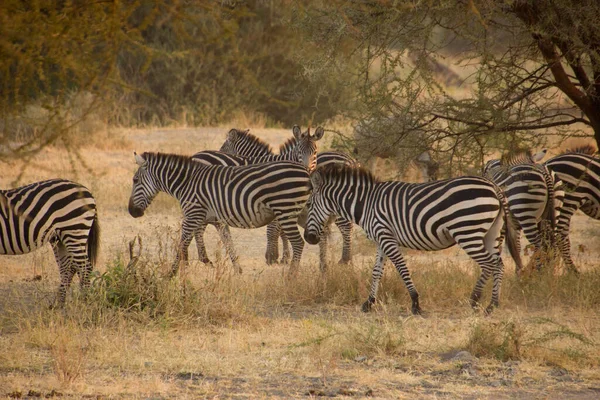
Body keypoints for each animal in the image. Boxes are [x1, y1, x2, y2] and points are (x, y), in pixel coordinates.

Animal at [128, 152, 312, 276]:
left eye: (135, 180)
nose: (132, 212)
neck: (186, 183)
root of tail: (306, 171)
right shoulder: (218, 221)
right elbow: (228, 242)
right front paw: (237, 270)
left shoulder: (193, 214)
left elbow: (182, 244)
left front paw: (171, 274)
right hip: (303, 213)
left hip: (286, 211)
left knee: (298, 243)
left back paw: (291, 275)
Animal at [191, 125, 324, 268]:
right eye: (299, 151)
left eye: (315, 152)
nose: (307, 171)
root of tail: (194, 156)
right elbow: (275, 229)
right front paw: (273, 257)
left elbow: (280, 230)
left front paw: (282, 257)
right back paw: (205, 258)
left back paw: (206, 258)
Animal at [218, 126, 356, 268]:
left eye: (223, 148)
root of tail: (351, 159)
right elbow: (282, 231)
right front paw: (284, 256)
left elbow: (272, 229)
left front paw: (272, 256)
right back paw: (344, 259)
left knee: (346, 227)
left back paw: (345, 259)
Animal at [302, 164, 516, 314]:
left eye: (309, 204)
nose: (309, 238)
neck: (366, 204)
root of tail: (494, 187)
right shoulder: (381, 239)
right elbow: (376, 271)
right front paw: (369, 303)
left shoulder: (386, 237)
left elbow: (402, 268)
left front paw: (415, 303)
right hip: (491, 233)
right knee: (499, 264)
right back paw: (492, 305)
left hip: (467, 231)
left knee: (488, 263)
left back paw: (475, 300)